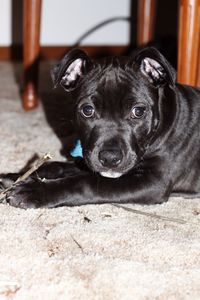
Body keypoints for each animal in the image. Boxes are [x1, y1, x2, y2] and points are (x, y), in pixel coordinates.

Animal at [1, 47, 200, 209]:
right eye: (88, 110)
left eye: (138, 111)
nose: (110, 158)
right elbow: (59, 165)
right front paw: (16, 176)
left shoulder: (153, 181)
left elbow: (86, 183)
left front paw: (35, 191)